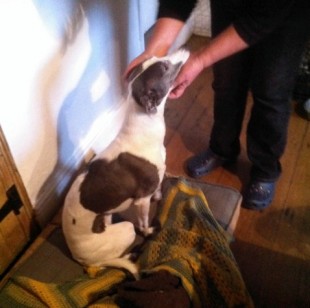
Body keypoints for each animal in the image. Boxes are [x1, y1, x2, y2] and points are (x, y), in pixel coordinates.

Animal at [62, 49, 190, 278]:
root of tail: (79, 258)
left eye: (155, 57)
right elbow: (144, 222)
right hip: (125, 230)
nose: (184, 49)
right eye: (164, 67)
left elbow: (158, 188)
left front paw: (159, 196)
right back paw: (129, 256)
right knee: (109, 259)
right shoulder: (141, 201)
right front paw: (149, 231)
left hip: (108, 217)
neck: (143, 129)